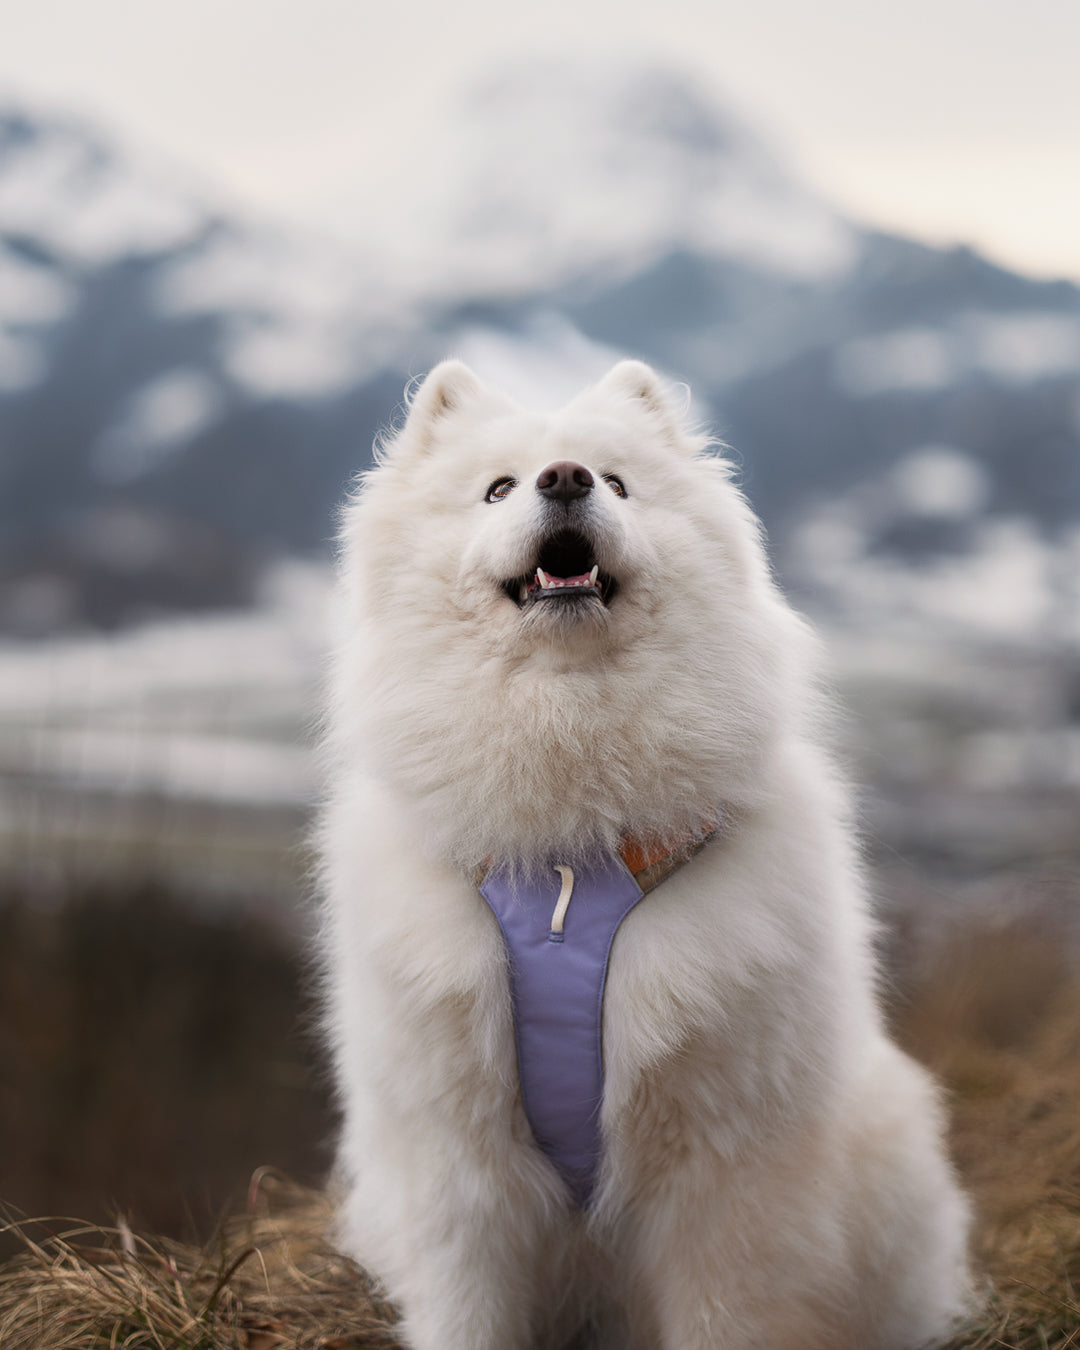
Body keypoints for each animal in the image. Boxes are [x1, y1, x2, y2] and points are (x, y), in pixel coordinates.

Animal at [318, 359, 972, 1350]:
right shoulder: (458, 1164)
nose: (565, 478)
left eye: (619, 482)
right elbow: (470, 1310)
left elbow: (723, 1314)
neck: (570, 856)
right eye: (497, 488)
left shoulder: (720, 1170)